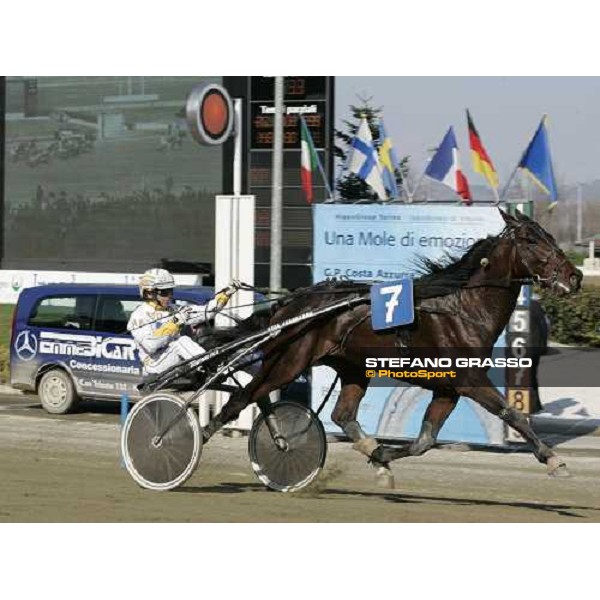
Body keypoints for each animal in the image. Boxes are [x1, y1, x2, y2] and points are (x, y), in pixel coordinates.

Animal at [203, 210, 580, 488]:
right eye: (531, 239)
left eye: (549, 236)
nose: (574, 276)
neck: (463, 309)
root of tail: (291, 304)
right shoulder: (470, 381)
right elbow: (513, 413)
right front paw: (554, 460)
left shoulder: (448, 389)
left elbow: (424, 441)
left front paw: (382, 458)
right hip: (288, 360)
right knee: (243, 397)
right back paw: (197, 441)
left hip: (353, 368)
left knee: (342, 415)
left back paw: (372, 453)